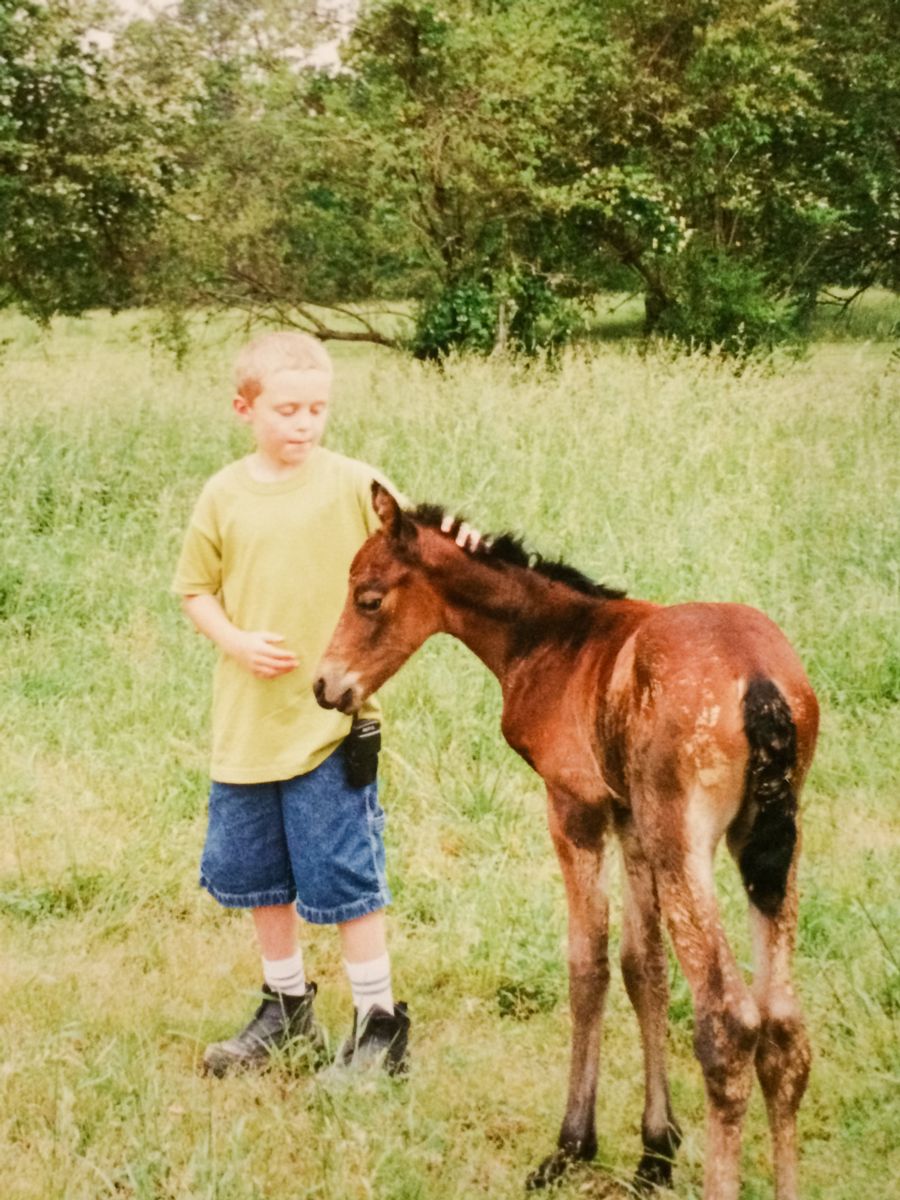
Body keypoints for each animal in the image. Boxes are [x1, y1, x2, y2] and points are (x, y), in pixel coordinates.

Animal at [314, 482, 820, 1195]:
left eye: (369, 597)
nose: (325, 685)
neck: (556, 640)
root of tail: (761, 684)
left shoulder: (574, 807)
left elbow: (589, 967)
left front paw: (572, 1144)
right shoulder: (628, 819)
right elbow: (643, 967)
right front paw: (655, 1153)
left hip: (684, 841)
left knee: (729, 1020)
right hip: (767, 849)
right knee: (784, 1029)